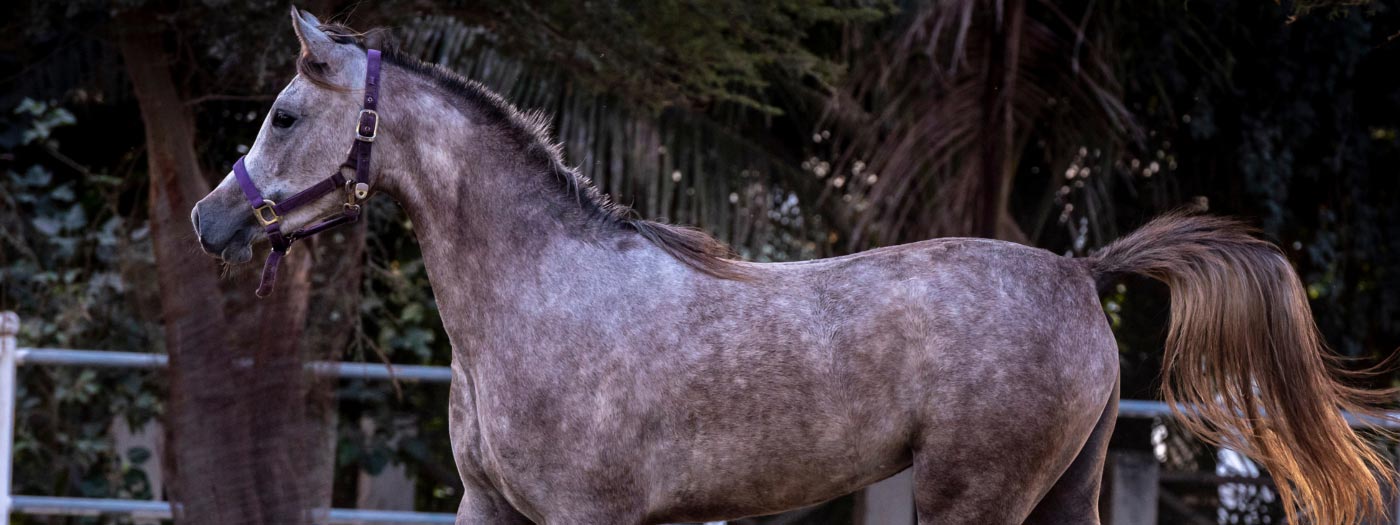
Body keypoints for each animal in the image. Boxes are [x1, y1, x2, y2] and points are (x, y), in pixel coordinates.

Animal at [190, 8, 1394, 524]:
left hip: (971, 499)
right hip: (1064, 490)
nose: (210, 220)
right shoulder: (490, 509)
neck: (540, 296)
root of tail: (1074, 270)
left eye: (284, 113)